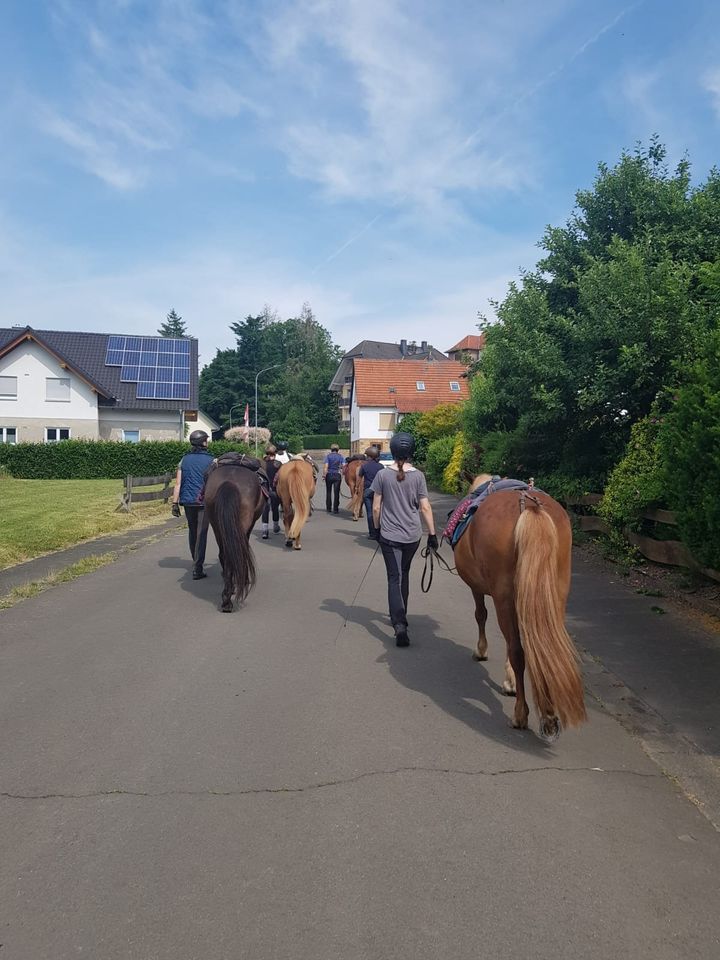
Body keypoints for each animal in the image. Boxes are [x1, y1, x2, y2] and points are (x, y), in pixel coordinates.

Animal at [456, 476, 584, 740]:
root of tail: (531, 506)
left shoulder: (479, 588)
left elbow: (481, 616)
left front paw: (482, 651)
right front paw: (510, 681)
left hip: (505, 597)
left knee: (518, 651)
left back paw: (520, 715)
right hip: (554, 595)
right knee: (543, 646)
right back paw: (548, 714)